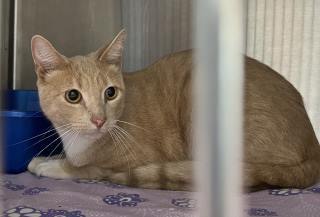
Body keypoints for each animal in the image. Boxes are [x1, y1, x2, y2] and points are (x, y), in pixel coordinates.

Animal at [28, 29, 320, 191]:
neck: (78, 143)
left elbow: (89, 169)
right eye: (73, 96)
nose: (99, 120)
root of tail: (313, 146)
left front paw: (53, 166)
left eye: (110, 93)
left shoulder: (134, 160)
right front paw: (50, 158)